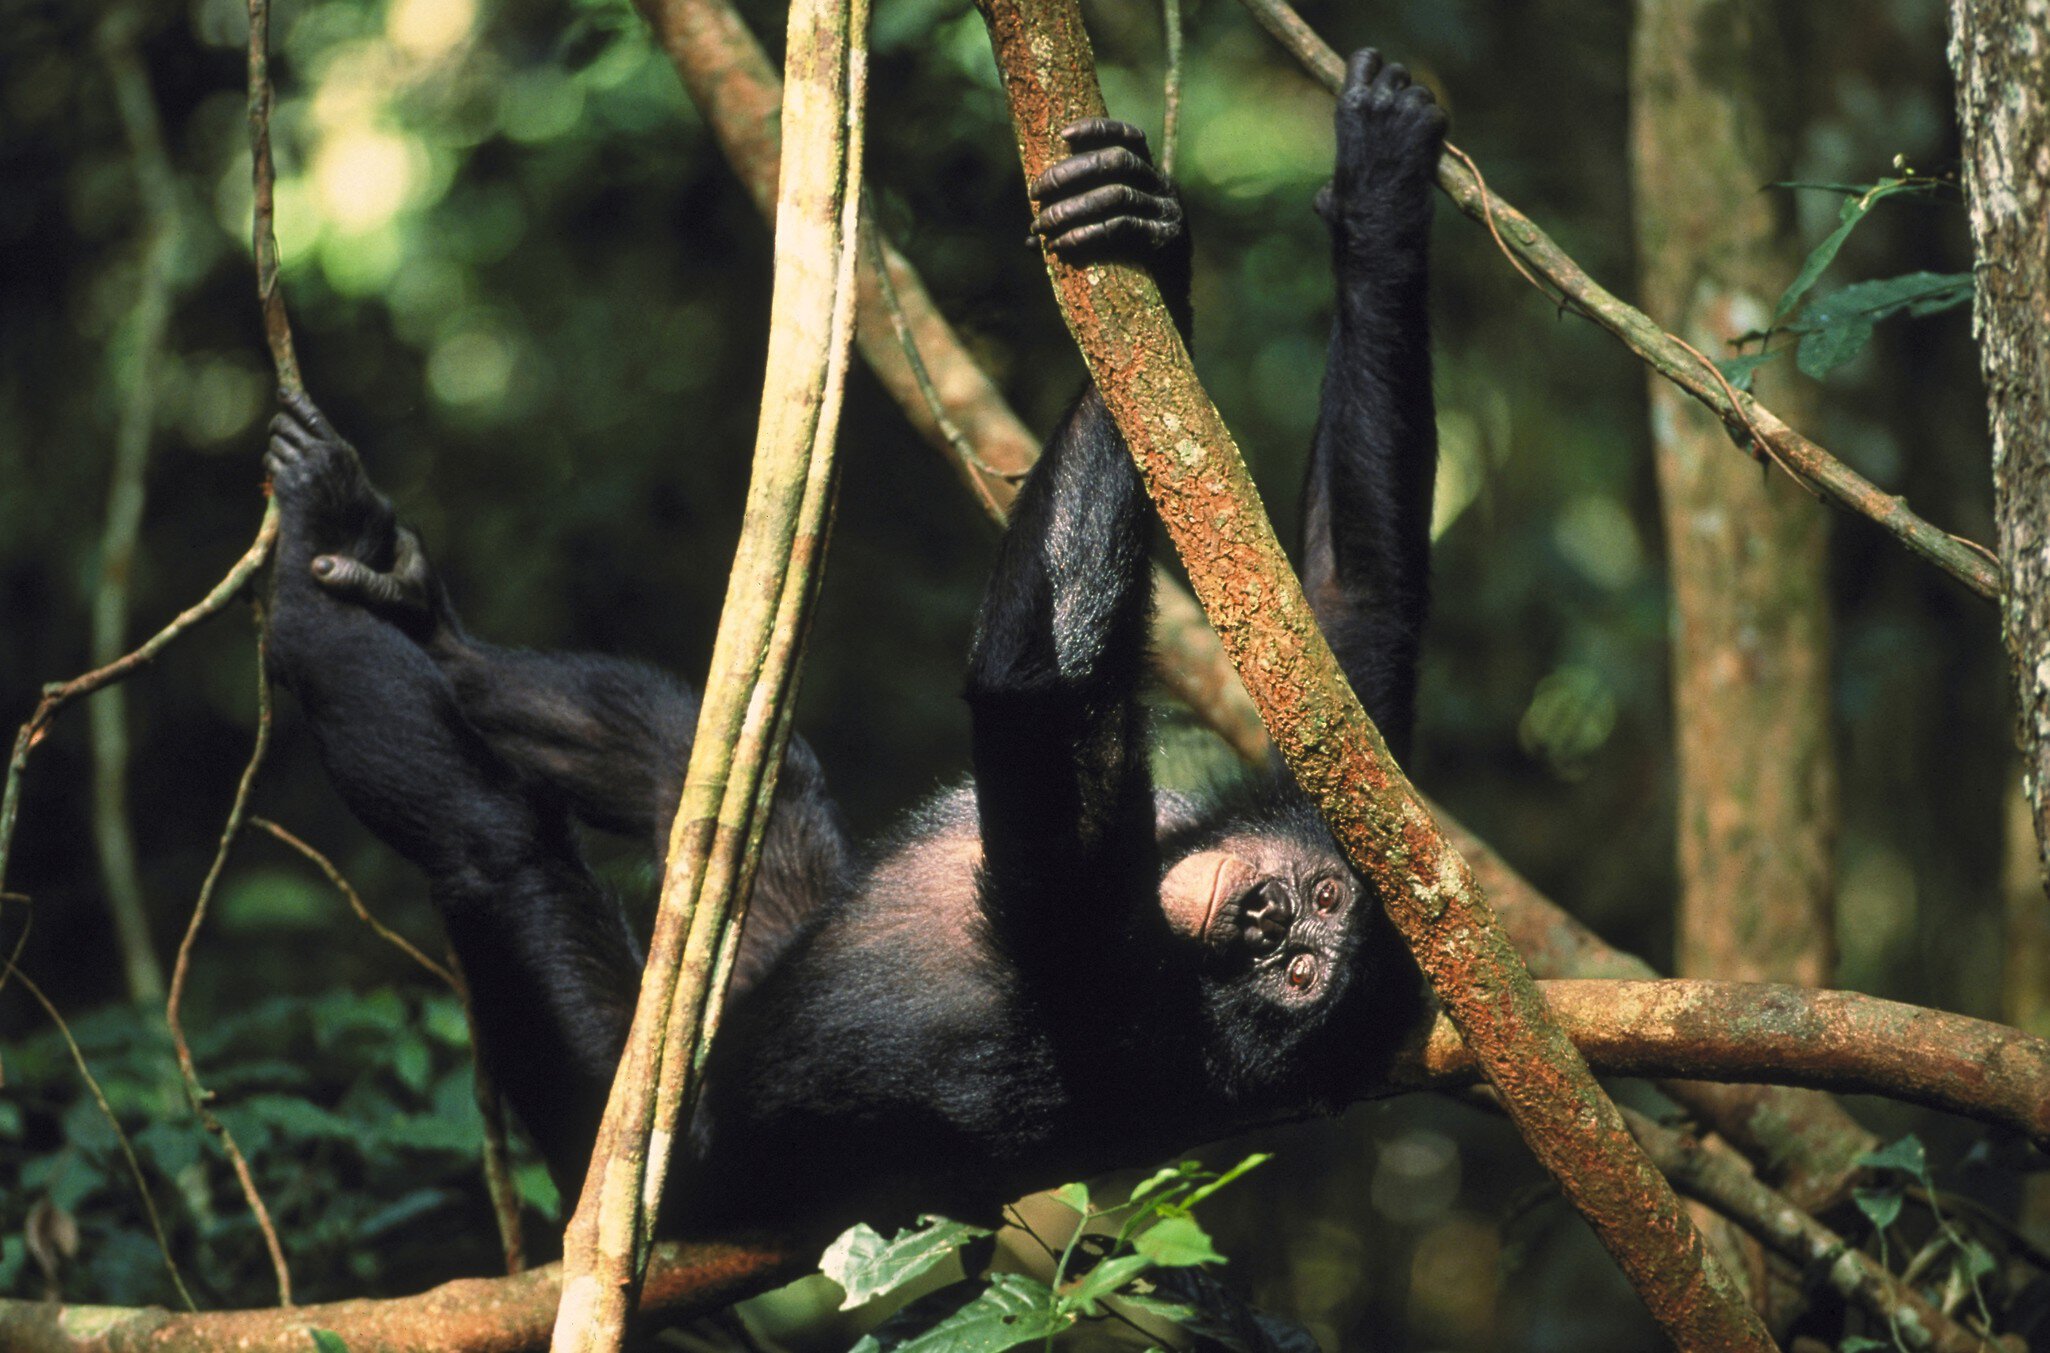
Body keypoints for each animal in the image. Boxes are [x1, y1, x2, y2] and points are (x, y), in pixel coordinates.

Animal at [261, 48, 1444, 1239]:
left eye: (1306, 974)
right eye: (1320, 897)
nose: (1269, 924)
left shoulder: (1112, 979)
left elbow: (1036, 688)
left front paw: (1159, 257)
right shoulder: (1321, 791)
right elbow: (1342, 621)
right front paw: (1369, 191)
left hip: (631, 1145)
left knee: (485, 841)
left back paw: (316, 559)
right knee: (722, 760)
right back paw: (416, 607)